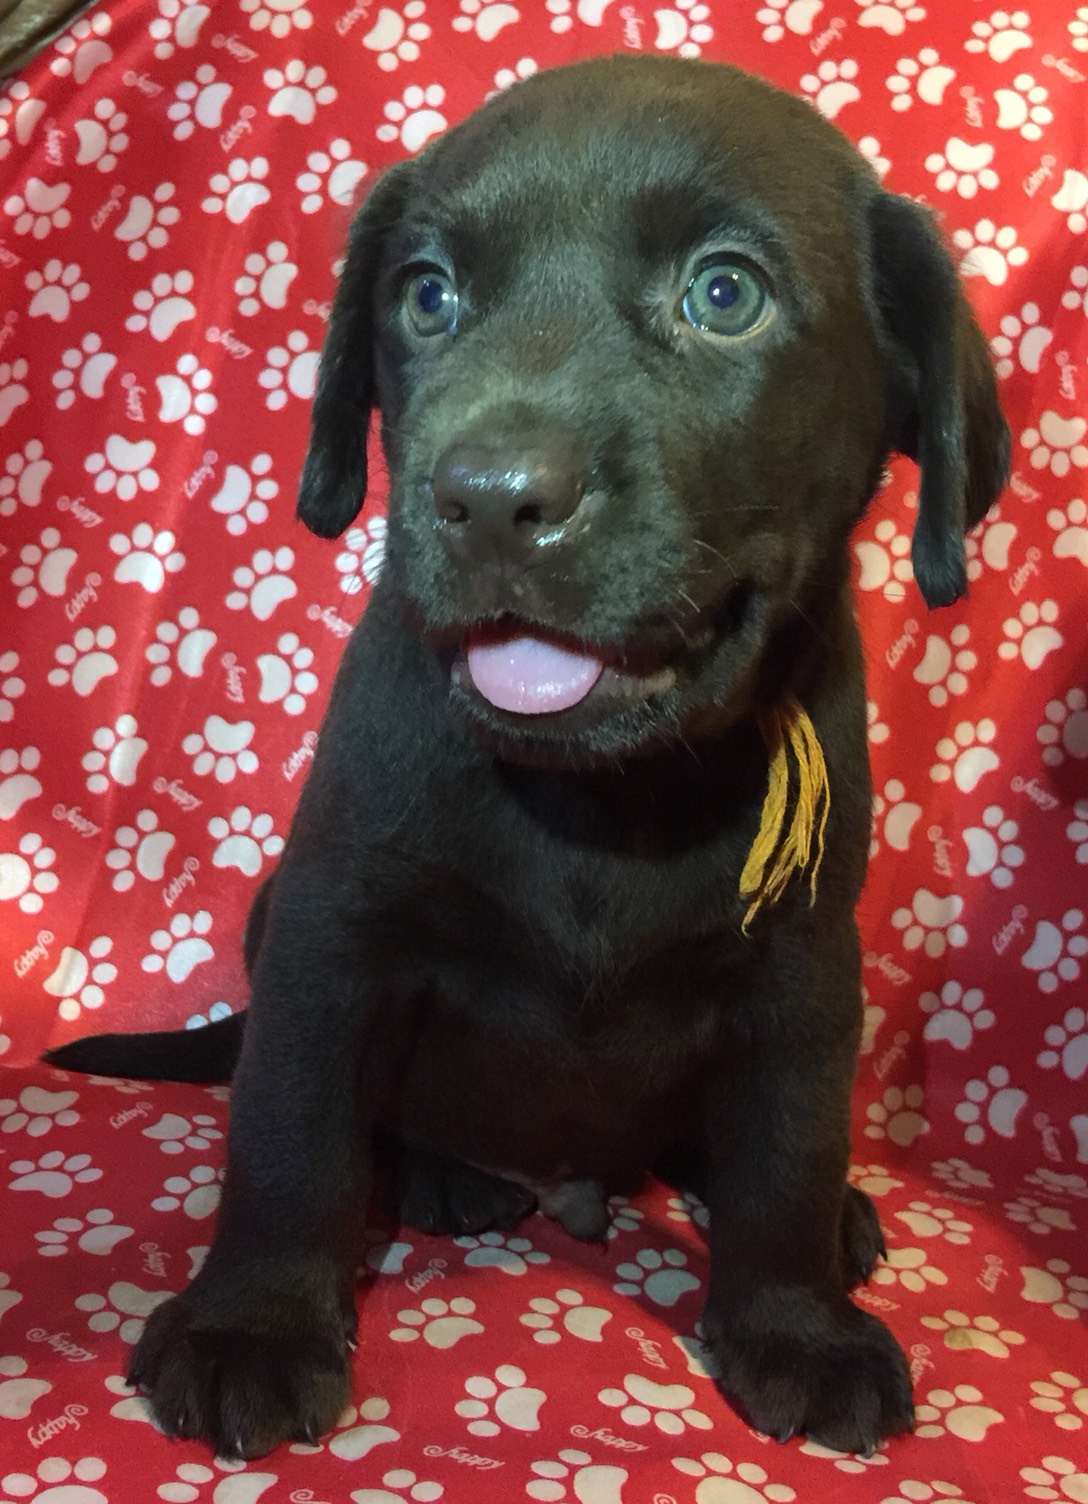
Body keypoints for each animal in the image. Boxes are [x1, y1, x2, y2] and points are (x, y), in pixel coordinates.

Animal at [47, 54, 1009, 1461]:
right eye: (427, 295)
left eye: (725, 293)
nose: (489, 498)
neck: (603, 798)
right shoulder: (332, 926)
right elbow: (289, 1132)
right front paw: (255, 1323)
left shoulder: (802, 965)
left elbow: (783, 1150)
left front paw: (794, 1325)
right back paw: (439, 1178)